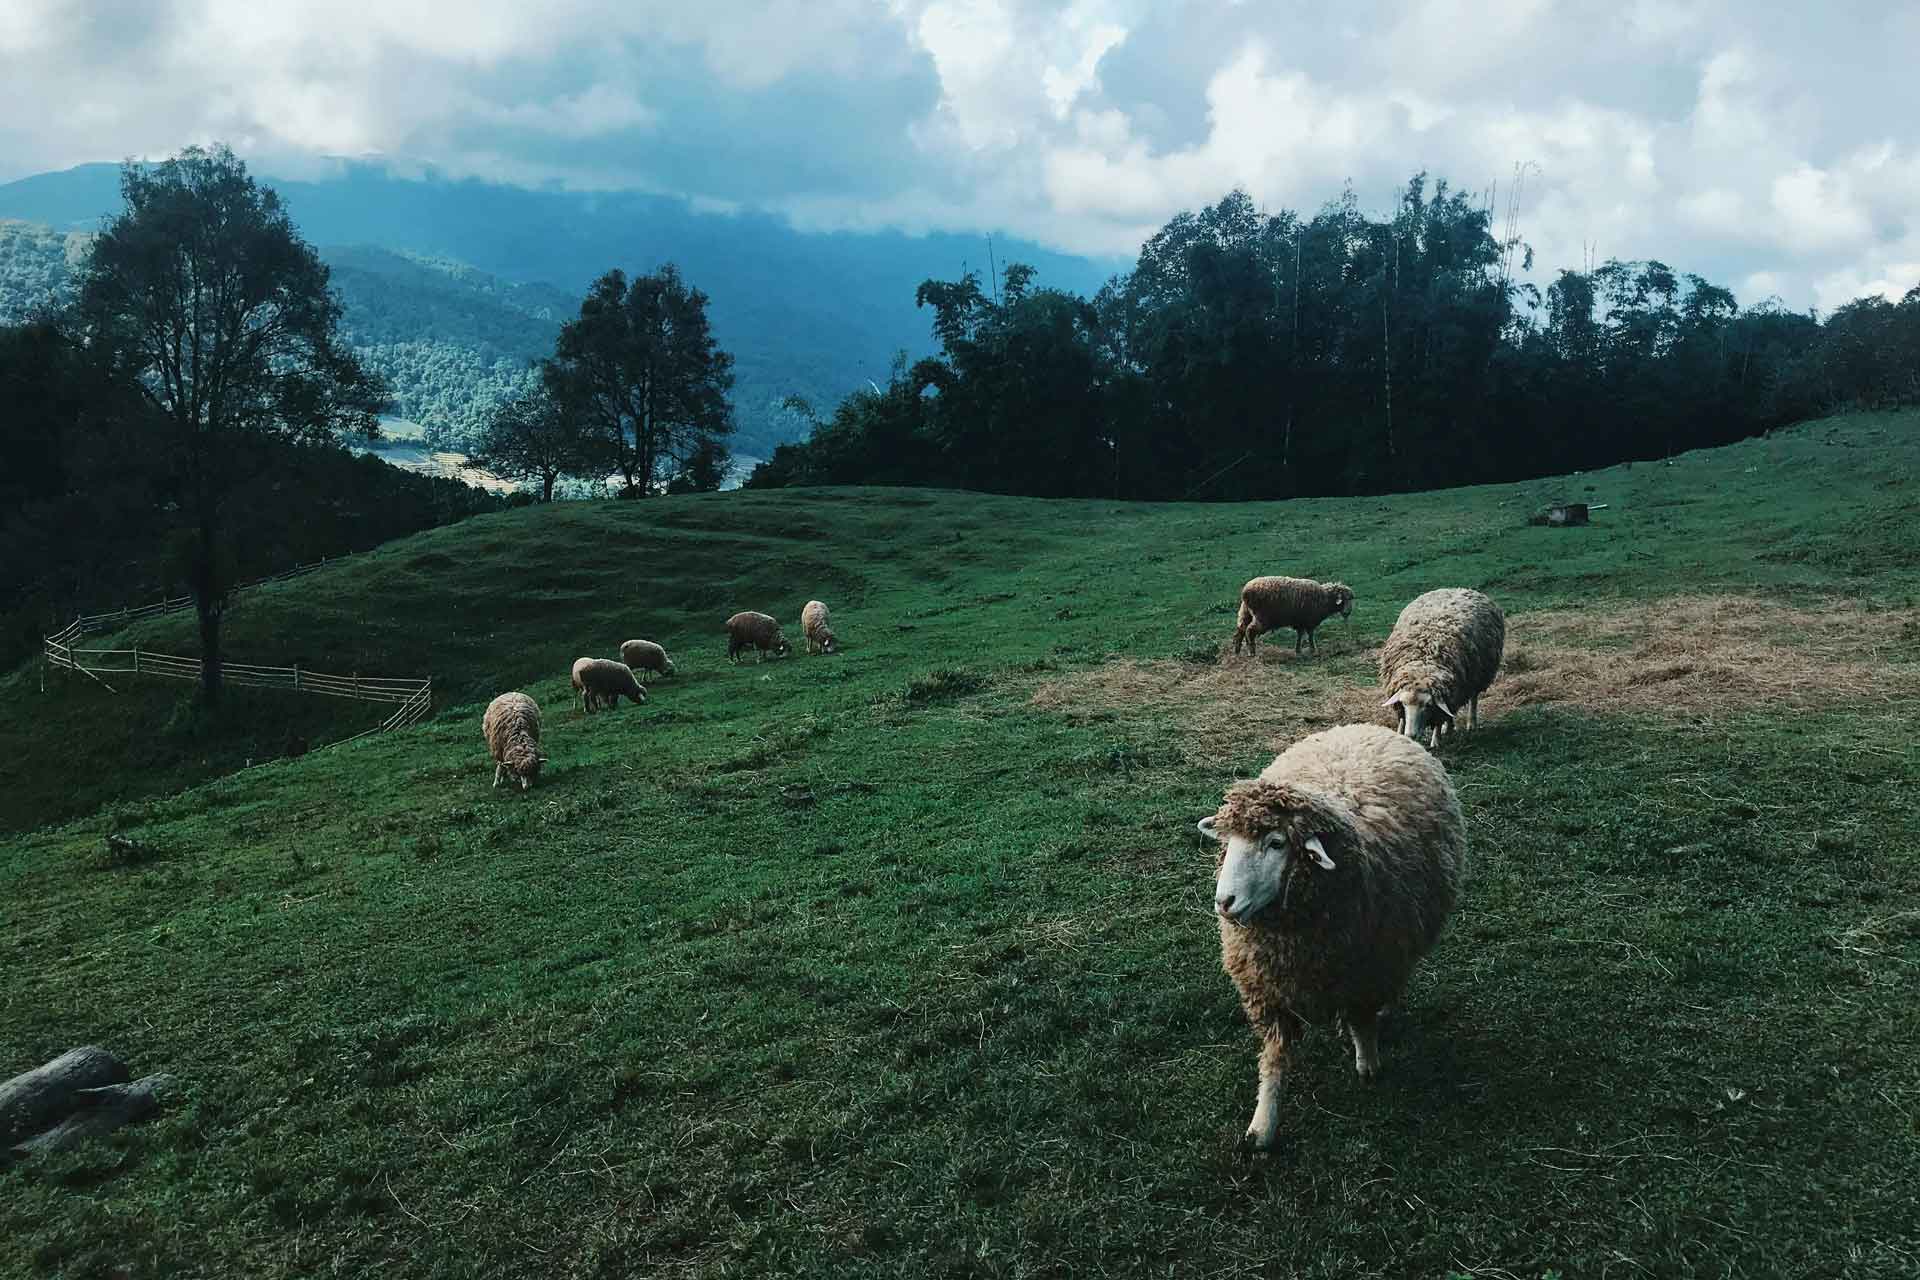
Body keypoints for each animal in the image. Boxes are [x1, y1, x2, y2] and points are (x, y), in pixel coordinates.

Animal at [1198, 725, 1466, 1159]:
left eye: (1277, 843)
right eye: (1230, 841)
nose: (1225, 901)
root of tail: (1363, 727)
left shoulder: (1367, 971)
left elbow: (1362, 1021)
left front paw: (1368, 1063)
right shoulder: (1269, 989)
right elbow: (1274, 1058)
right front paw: (1263, 1125)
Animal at [1390, 591, 1505, 752]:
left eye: (1428, 705)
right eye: (1404, 704)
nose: (1411, 735)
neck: (1424, 659)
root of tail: (1458, 588)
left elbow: (1439, 719)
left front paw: (1435, 740)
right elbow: (1402, 719)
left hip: (1476, 676)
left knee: (1473, 698)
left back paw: (1470, 724)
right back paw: (1449, 727)